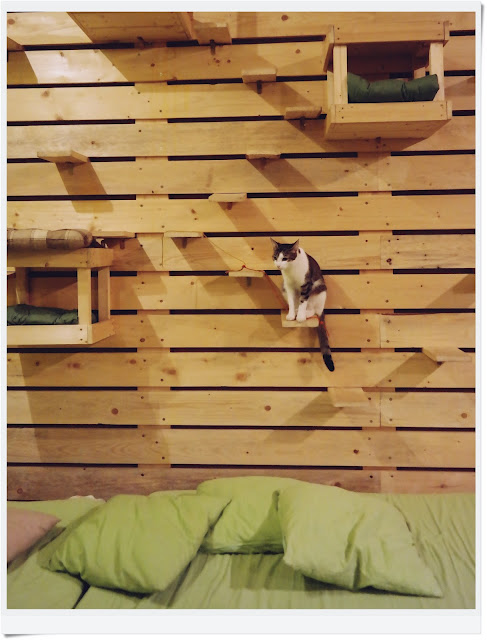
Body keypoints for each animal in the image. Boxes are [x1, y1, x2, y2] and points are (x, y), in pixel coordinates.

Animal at [271, 238, 335, 372]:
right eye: (275, 257)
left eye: (285, 258)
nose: (278, 265)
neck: (291, 270)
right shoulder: (288, 285)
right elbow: (291, 301)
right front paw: (291, 315)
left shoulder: (306, 285)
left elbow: (303, 301)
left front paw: (300, 316)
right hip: (283, 287)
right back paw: (295, 311)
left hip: (320, 288)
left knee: (314, 310)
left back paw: (305, 313)